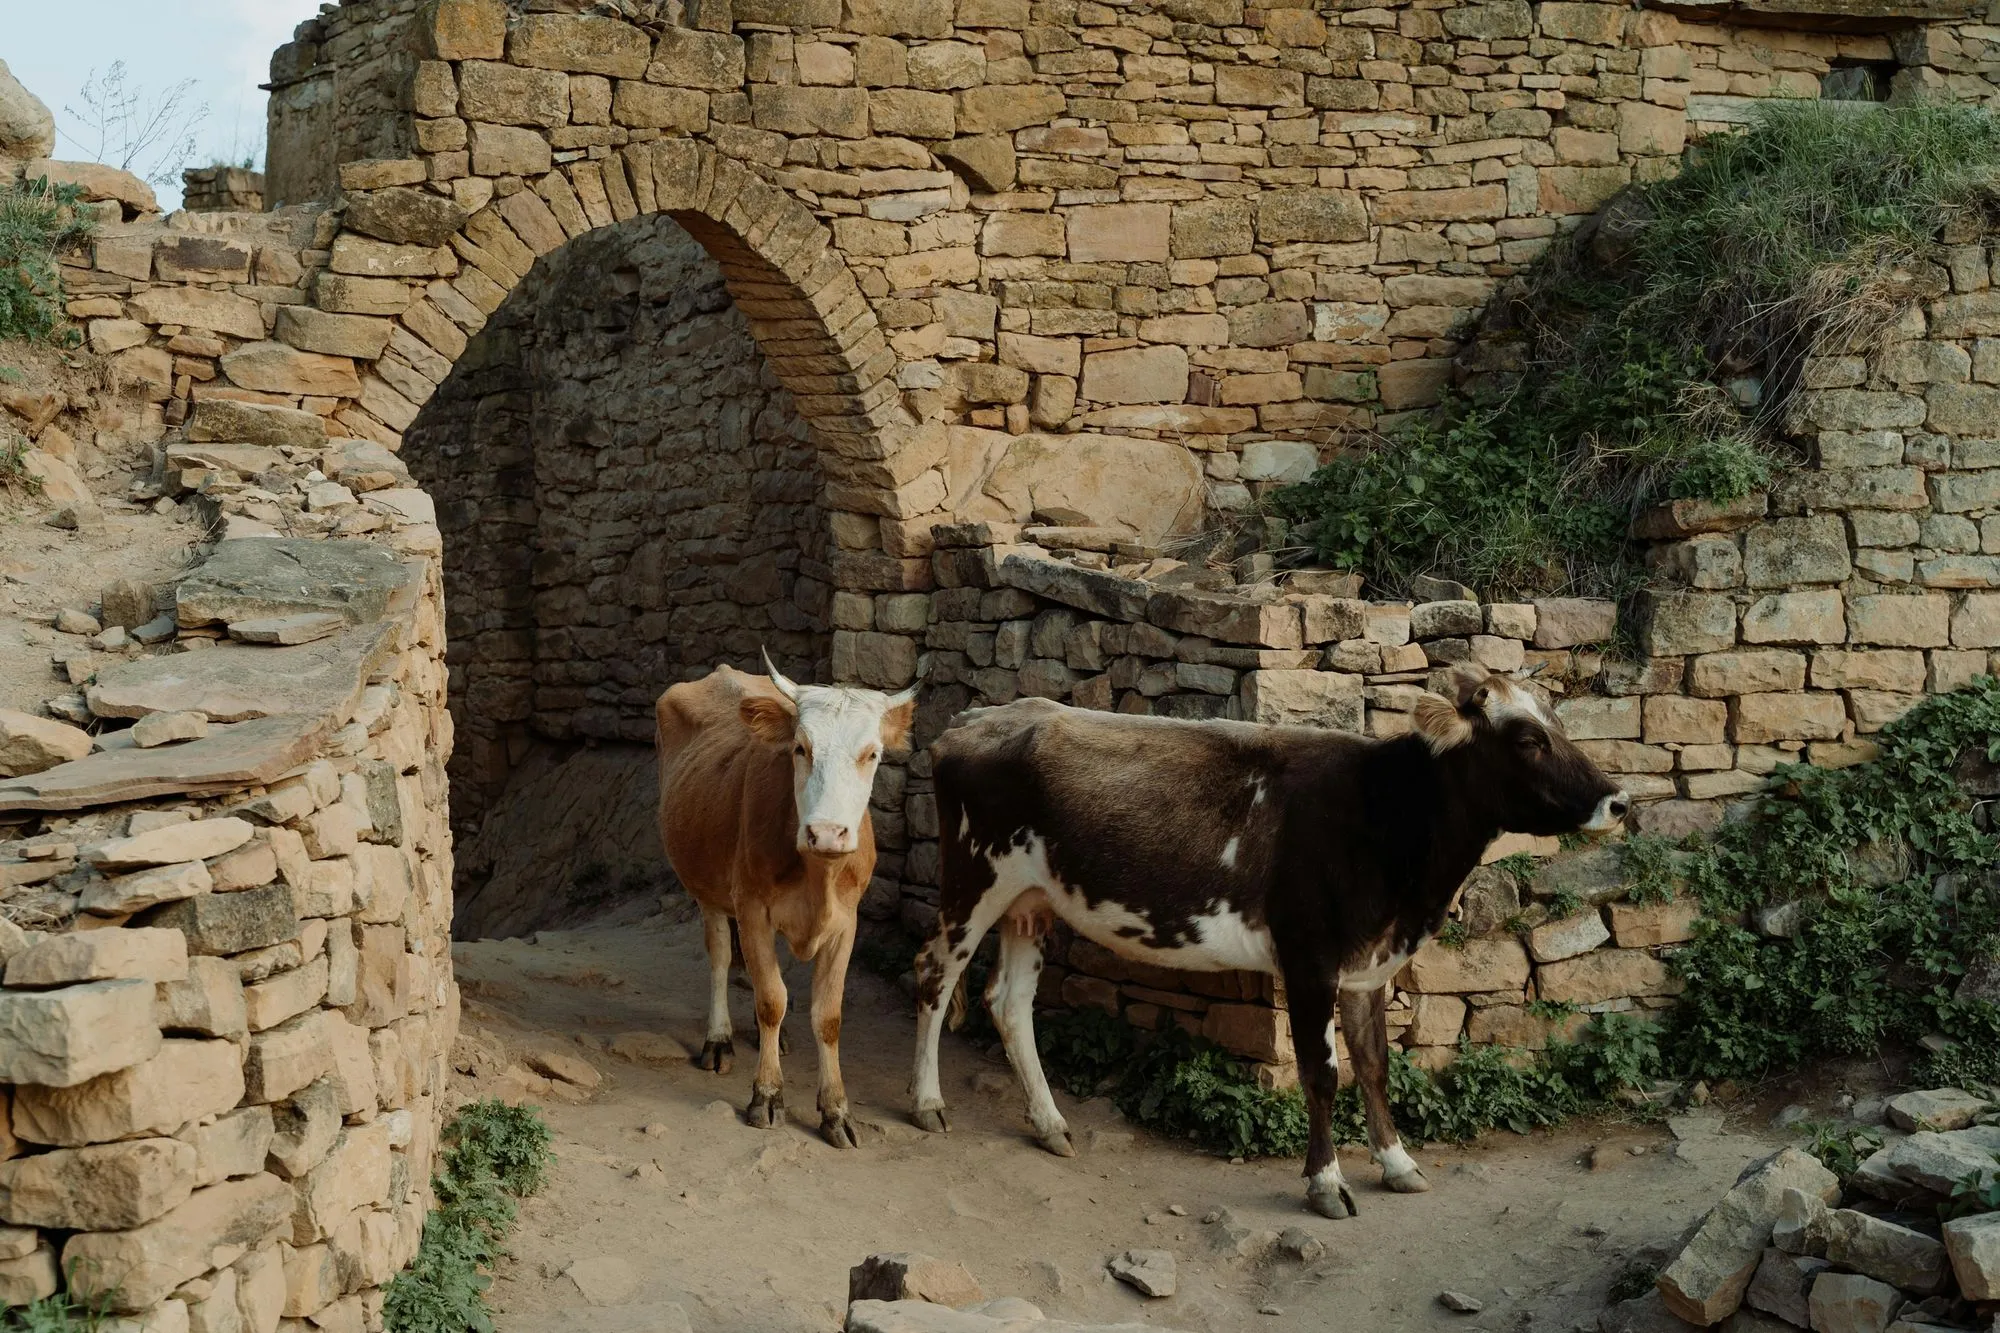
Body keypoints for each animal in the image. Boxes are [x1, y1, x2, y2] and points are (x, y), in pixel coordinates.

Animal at [656, 656, 916, 1148]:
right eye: (800, 748)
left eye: (872, 754)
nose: (828, 833)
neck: (817, 876)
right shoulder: (753, 910)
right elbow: (770, 1000)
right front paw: (767, 1096)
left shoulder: (846, 923)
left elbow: (828, 1015)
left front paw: (835, 1110)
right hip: (707, 888)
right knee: (721, 958)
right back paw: (719, 1040)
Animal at [909, 666, 1628, 1218]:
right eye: (1527, 738)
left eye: (1560, 723)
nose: (1618, 800)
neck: (1387, 819)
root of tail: (977, 716)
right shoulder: (1310, 958)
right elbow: (1322, 1074)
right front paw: (1326, 1183)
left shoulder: (1367, 964)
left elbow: (1375, 1064)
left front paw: (1397, 1163)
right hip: (974, 879)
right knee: (934, 976)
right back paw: (926, 1102)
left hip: (1031, 900)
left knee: (1009, 1001)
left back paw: (1051, 1123)